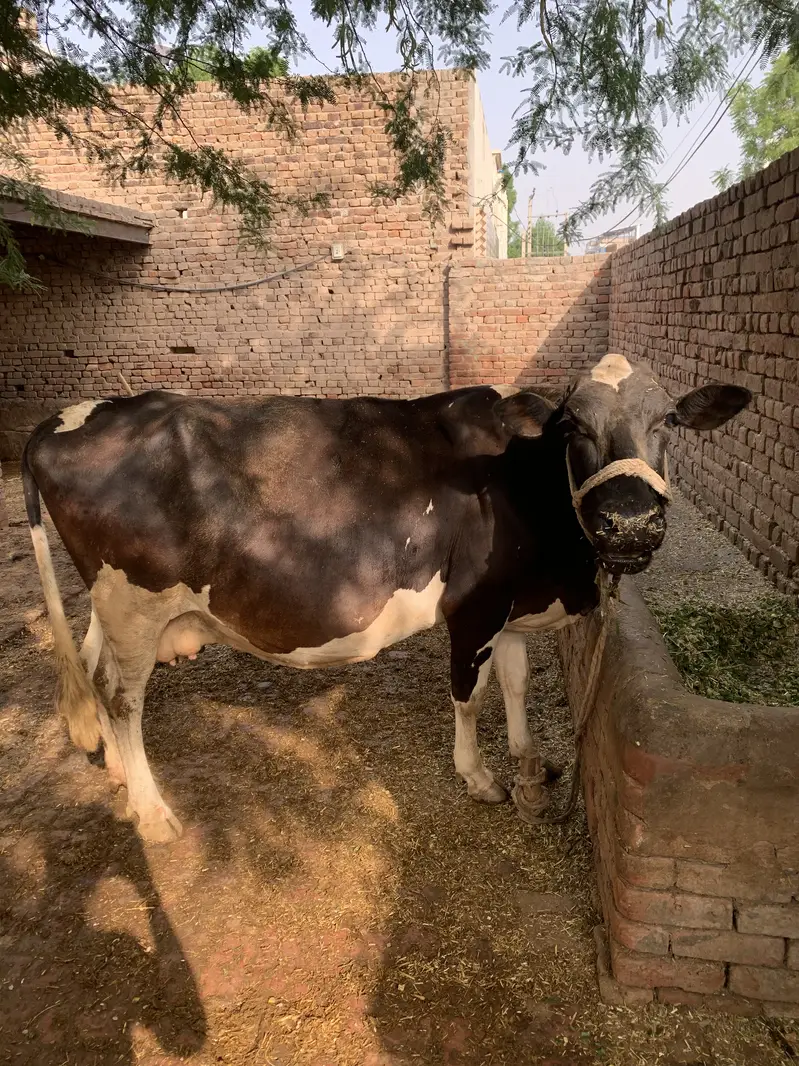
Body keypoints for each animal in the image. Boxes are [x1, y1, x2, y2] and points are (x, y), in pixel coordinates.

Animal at [22, 354, 750, 843]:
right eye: (572, 426)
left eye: (669, 420)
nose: (629, 521)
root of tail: (71, 416)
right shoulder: (474, 607)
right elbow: (470, 696)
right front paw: (479, 777)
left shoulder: (510, 605)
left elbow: (514, 681)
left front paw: (527, 765)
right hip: (132, 602)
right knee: (121, 699)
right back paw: (152, 812)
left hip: (113, 608)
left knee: (95, 672)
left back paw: (121, 778)